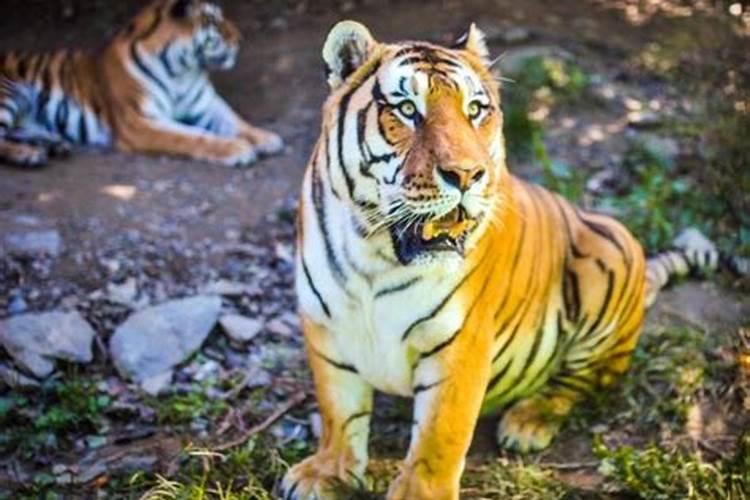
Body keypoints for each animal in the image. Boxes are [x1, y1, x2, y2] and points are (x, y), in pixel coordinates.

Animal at [0, 0, 283, 168]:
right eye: (213, 21)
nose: (240, 39)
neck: (181, 70)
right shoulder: (139, 122)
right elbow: (190, 136)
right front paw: (237, 148)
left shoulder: (207, 105)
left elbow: (236, 122)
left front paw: (266, 138)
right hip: (9, 93)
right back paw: (28, 155)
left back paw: (53, 145)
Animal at [282, 21, 748, 500]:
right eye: (408, 109)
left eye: (474, 110)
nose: (466, 175)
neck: (374, 254)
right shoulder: (326, 329)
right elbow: (340, 413)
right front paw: (329, 473)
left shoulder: (460, 343)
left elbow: (439, 435)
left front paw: (417, 493)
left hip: (610, 257)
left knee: (584, 381)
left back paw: (528, 422)